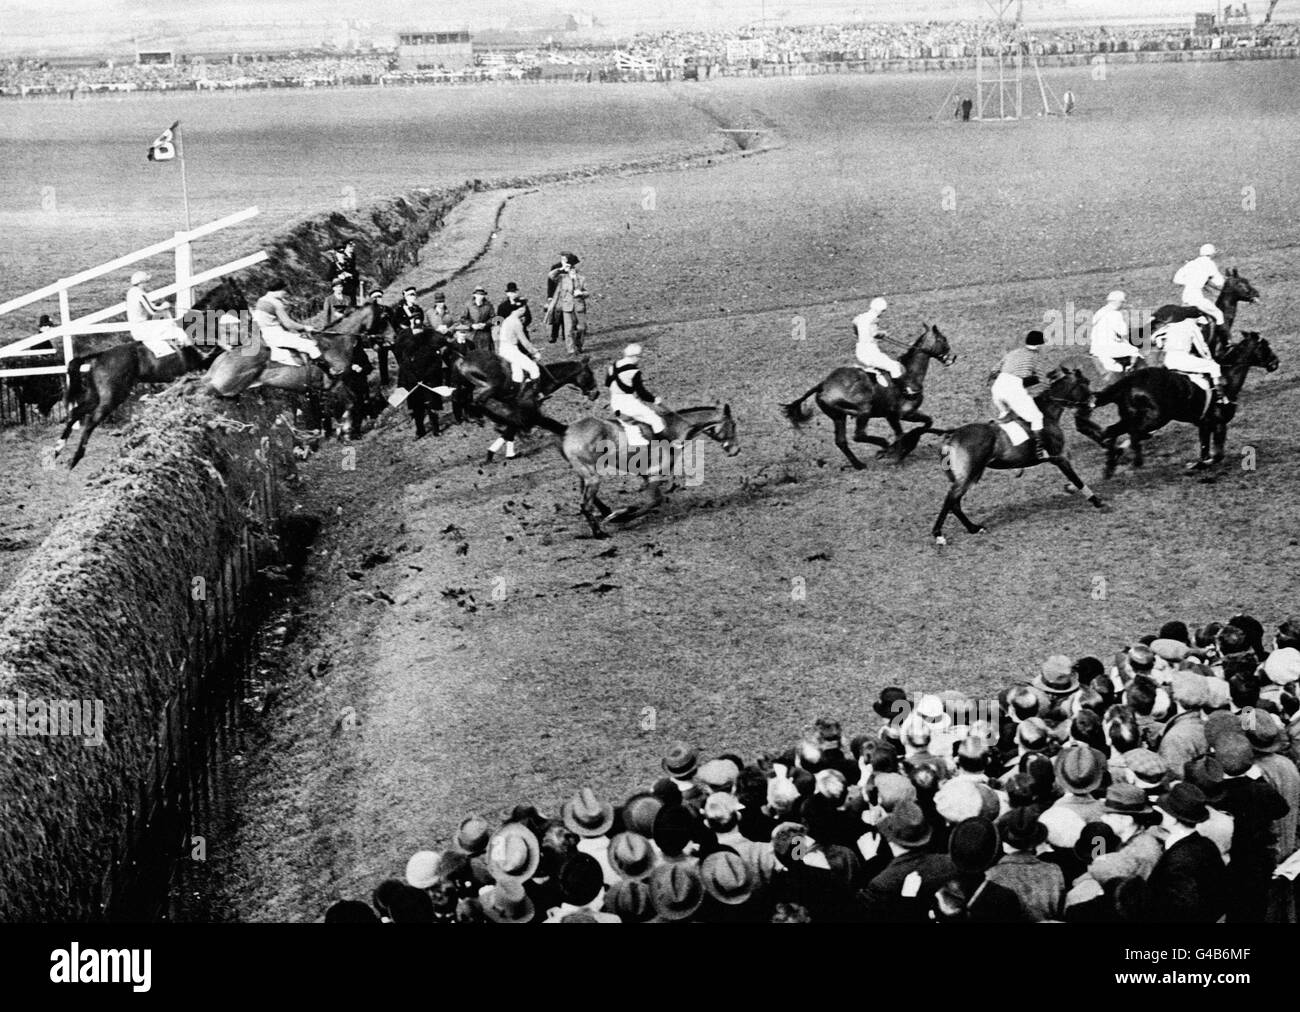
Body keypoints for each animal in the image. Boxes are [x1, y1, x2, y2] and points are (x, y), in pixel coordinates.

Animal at [53, 274, 246, 468]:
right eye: (238, 295)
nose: (248, 315)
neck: (199, 327)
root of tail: (99, 355)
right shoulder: (205, 359)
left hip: (96, 395)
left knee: (75, 412)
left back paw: (58, 449)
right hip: (113, 397)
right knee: (91, 421)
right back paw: (75, 458)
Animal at [561, 403, 743, 535]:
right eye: (733, 424)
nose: (736, 450)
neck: (671, 430)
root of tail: (567, 434)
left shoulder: (647, 476)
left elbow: (654, 500)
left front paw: (619, 515)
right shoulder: (653, 475)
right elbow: (655, 501)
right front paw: (622, 517)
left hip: (587, 475)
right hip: (592, 476)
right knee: (585, 504)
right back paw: (599, 533)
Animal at [780, 321, 956, 468]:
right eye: (943, 339)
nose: (953, 358)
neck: (909, 374)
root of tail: (822, 385)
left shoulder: (895, 415)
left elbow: (910, 430)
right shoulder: (904, 414)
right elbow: (919, 427)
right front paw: (898, 452)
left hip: (838, 417)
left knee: (841, 441)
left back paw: (859, 464)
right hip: (863, 410)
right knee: (858, 435)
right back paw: (883, 444)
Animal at [930, 364, 1102, 543]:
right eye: (1086, 382)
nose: (1094, 402)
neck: (1047, 414)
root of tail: (953, 435)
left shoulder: (1059, 456)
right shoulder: (1059, 457)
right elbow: (1076, 479)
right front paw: (1097, 501)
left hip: (970, 475)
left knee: (955, 503)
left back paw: (973, 528)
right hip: (970, 474)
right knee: (951, 499)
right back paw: (940, 534)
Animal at [1076, 329, 1279, 476]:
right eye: (1265, 346)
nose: (1275, 362)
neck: (1227, 379)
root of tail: (1130, 380)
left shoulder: (1205, 424)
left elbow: (1205, 450)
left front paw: (1199, 463)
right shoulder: (1219, 423)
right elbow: (1217, 455)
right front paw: (1198, 465)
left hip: (1130, 416)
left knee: (1111, 431)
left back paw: (1110, 467)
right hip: (1154, 418)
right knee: (1133, 433)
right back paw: (1134, 460)